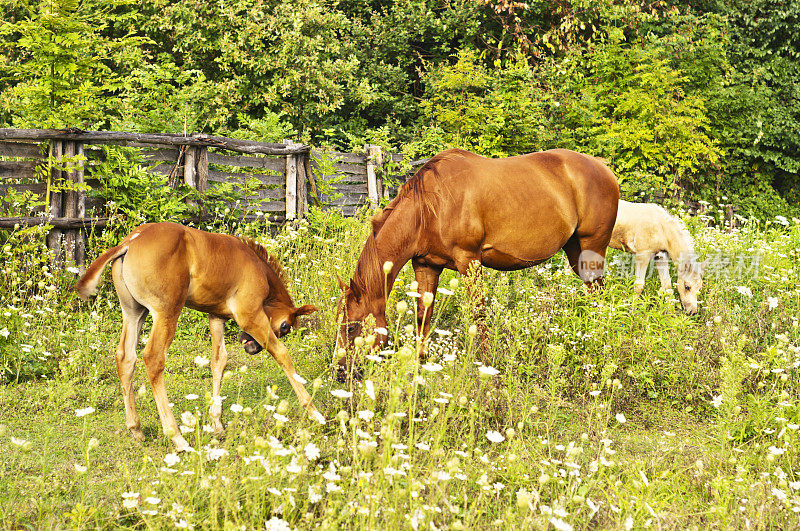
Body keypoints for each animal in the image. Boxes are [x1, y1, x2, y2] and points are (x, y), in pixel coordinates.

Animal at [75, 222, 324, 450]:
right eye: (285, 326)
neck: (257, 267)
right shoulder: (250, 315)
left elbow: (219, 360)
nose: (249, 345)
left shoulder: (216, 316)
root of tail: (131, 241)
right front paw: (314, 412)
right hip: (167, 312)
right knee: (153, 357)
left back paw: (136, 428)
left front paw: (217, 423)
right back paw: (177, 437)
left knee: (125, 357)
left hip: (134, 312)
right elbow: (282, 354)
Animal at [336, 148, 620, 376]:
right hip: (575, 251)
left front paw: (484, 363)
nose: (340, 372)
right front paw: (420, 361)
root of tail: (602, 167)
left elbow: (478, 312)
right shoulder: (426, 265)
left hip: (593, 247)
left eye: (351, 327)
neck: (430, 206)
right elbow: (423, 315)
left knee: (599, 294)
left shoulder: (469, 260)